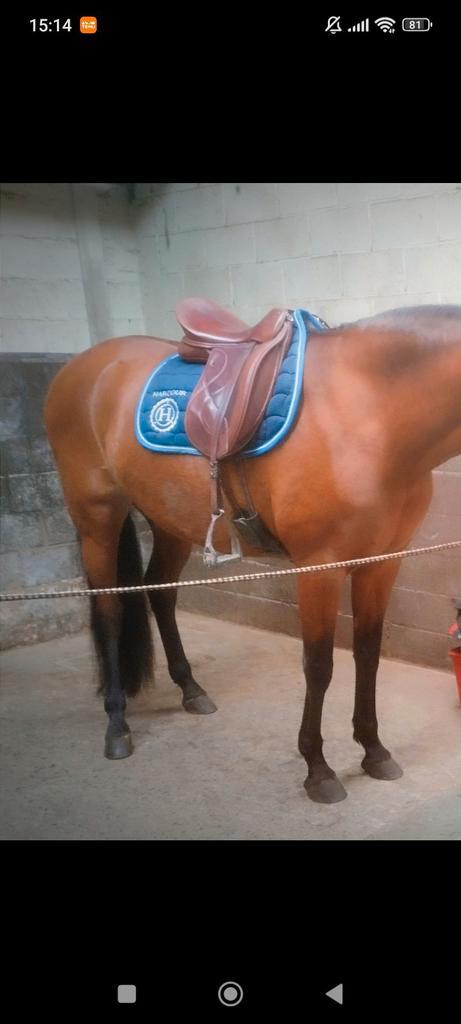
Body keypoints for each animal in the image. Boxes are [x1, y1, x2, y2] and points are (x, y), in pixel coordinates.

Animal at [44, 303, 461, 804]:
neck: (371, 412)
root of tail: (79, 366)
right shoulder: (319, 567)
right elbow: (319, 665)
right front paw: (318, 769)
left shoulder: (381, 563)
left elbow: (368, 654)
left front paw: (374, 751)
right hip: (97, 517)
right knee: (108, 610)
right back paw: (117, 723)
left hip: (169, 519)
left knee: (160, 593)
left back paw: (191, 690)